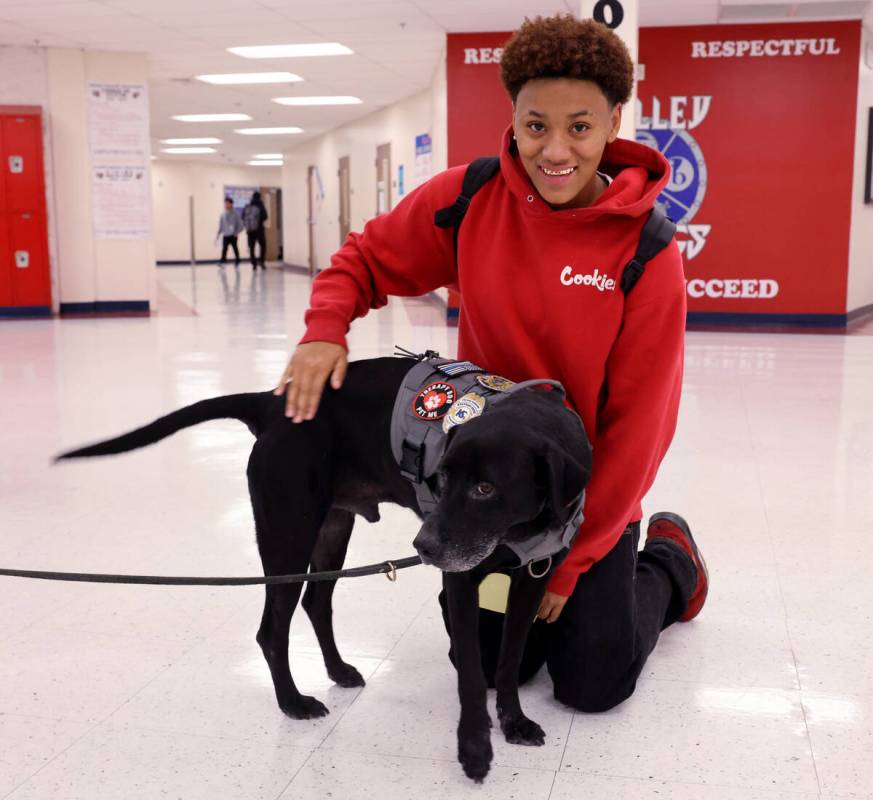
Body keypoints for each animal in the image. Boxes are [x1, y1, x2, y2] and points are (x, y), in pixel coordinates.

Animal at [56, 356, 592, 780]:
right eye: (440, 479)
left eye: (485, 488)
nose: (421, 547)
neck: (515, 531)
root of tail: (274, 404)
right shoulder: (461, 581)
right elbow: (472, 676)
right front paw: (475, 749)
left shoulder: (532, 580)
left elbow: (507, 660)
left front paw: (513, 721)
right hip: (288, 535)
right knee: (271, 629)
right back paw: (293, 701)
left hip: (332, 529)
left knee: (316, 602)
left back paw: (336, 669)